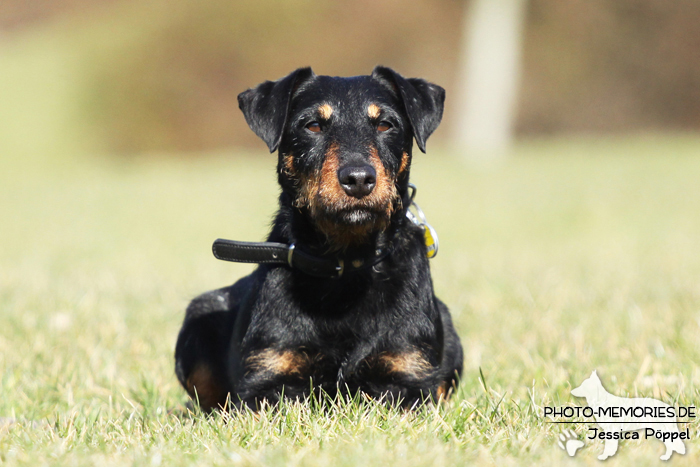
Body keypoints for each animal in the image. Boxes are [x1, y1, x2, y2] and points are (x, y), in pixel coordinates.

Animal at [174, 66, 464, 414]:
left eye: (385, 124)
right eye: (312, 125)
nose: (358, 179)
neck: (345, 268)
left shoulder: (410, 377)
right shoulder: (266, 380)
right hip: (198, 316)